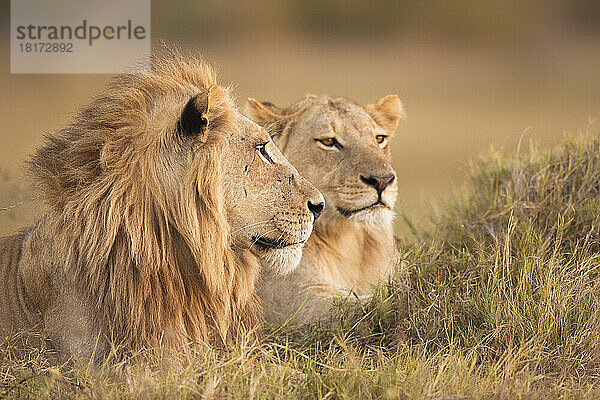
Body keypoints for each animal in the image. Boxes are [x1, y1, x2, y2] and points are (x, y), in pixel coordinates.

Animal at [246, 94, 406, 324]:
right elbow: (379, 303)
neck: (349, 240)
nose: (382, 180)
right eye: (329, 142)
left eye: (379, 139)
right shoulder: (298, 309)